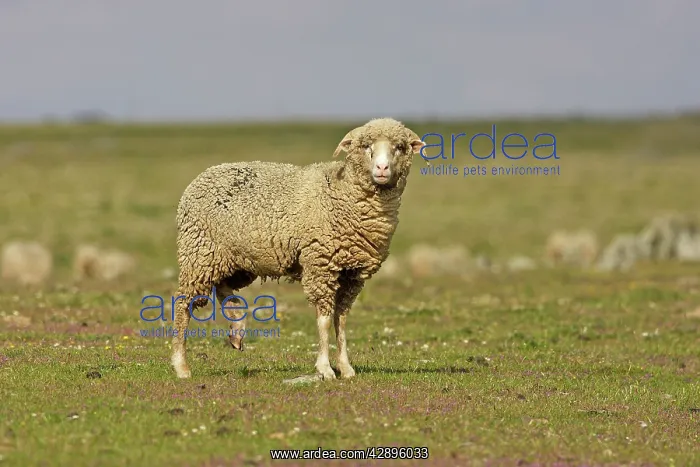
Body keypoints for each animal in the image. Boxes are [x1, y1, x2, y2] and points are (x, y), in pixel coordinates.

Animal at [171, 118, 426, 380]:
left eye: (400, 147)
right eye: (365, 146)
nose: (382, 168)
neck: (343, 192)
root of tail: (203, 176)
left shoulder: (352, 274)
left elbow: (341, 321)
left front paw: (345, 367)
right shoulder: (320, 264)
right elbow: (324, 320)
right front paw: (325, 368)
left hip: (237, 258)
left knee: (222, 287)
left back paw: (236, 326)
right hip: (199, 253)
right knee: (183, 304)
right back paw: (181, 365)